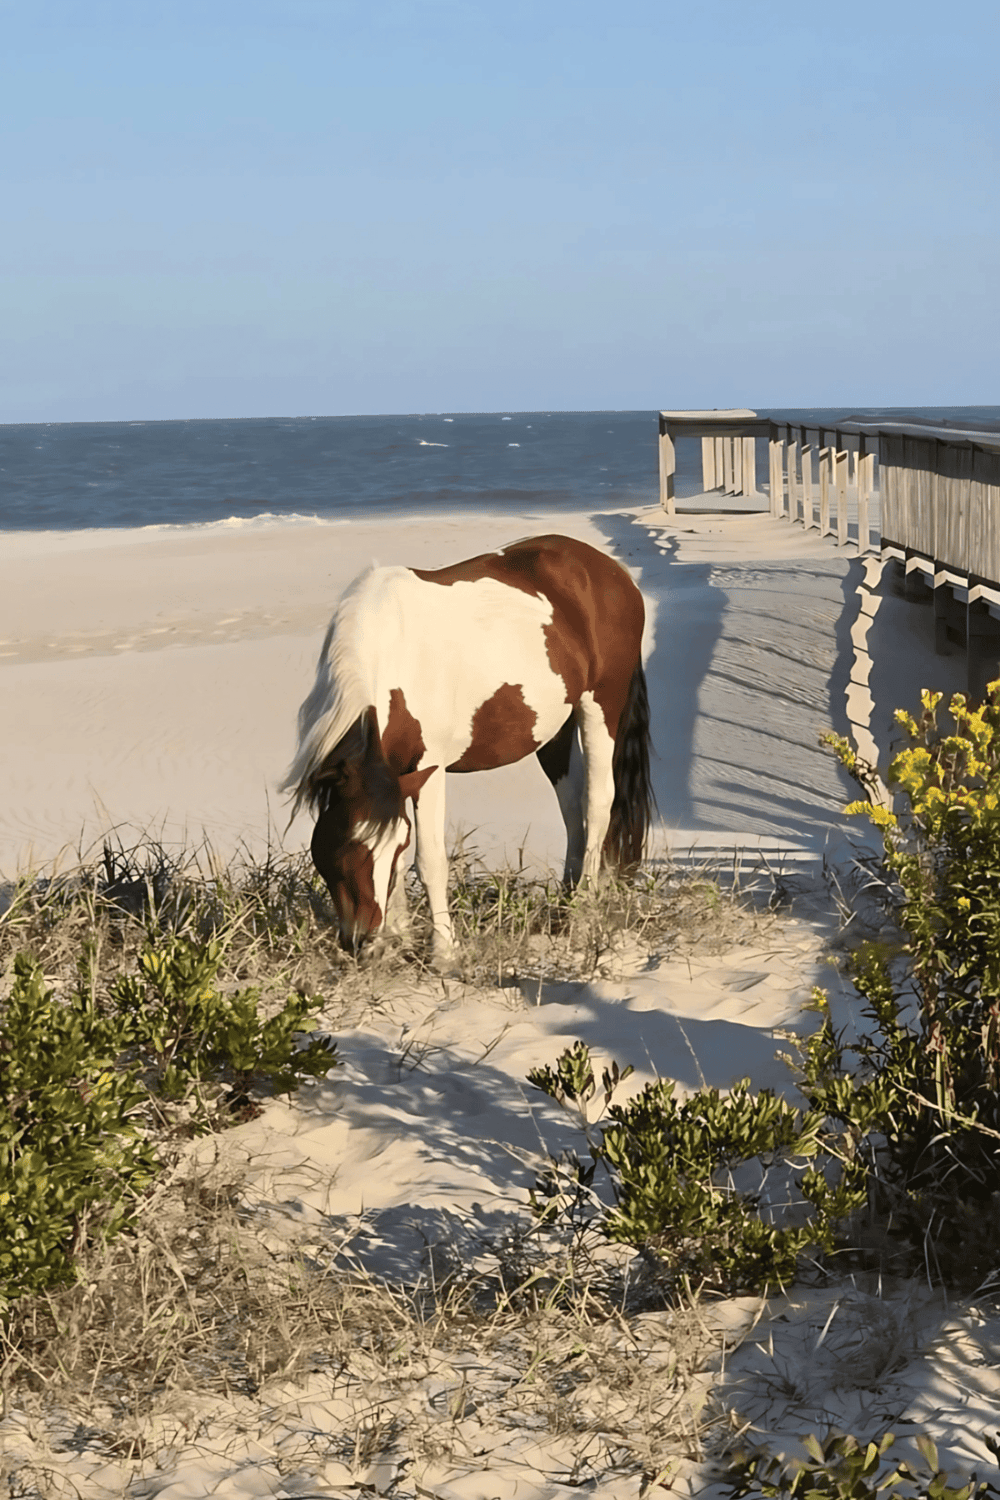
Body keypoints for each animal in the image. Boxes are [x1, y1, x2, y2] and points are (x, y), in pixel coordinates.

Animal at [282, 533, 655, 968]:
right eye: (342, 845)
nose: (364, 940)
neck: (389, 654)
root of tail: (612, 572)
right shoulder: (397, 779)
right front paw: (401, 939)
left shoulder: (427, 768)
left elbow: (430, 860)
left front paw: (443, 949)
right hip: (554, 729)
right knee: (572, 805)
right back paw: (563, 909)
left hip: (600, 706)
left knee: (597, 803)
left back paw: (582, 911)